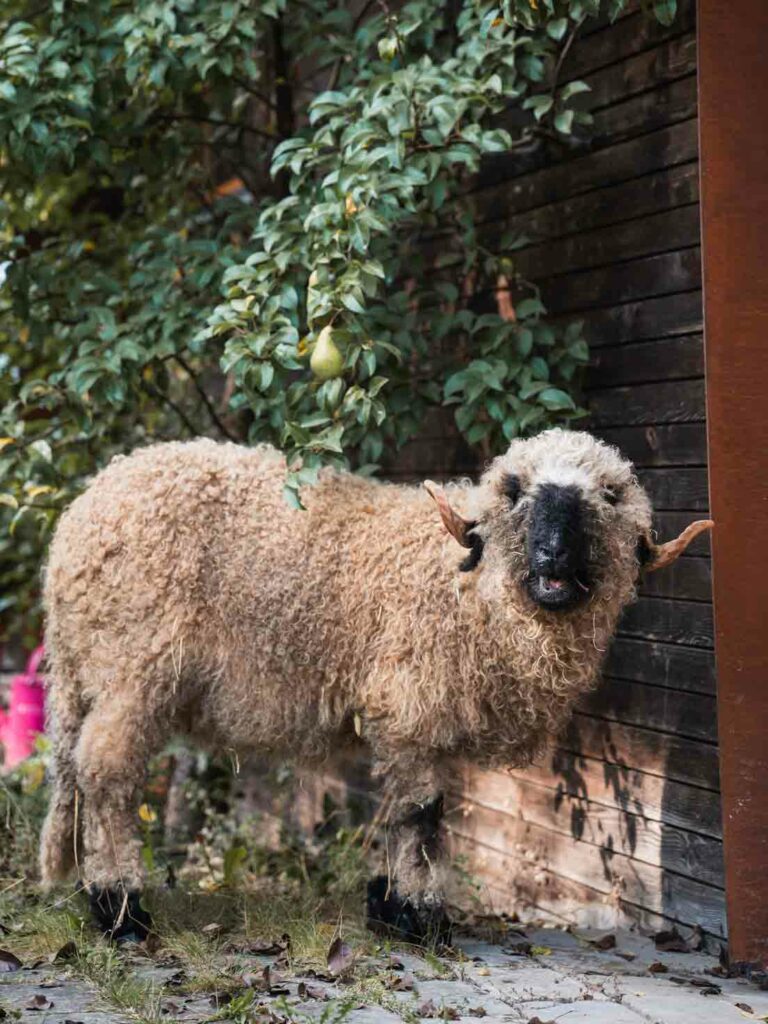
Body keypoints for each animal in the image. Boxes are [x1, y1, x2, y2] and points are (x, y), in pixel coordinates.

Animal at [34, 428, 708, 937]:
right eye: (515, 489)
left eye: (610, 495)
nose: (552, 556)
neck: (465, 587)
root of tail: (77, 522)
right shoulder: (412, 704)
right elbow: (423, 815)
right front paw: (421, 918)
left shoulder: (419, 719)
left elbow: (403, 809)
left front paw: (388, 905)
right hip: (134, 665)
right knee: (106, 772)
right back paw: (121, 910)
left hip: (91, 673)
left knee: (77, 770)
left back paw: (90, 896)